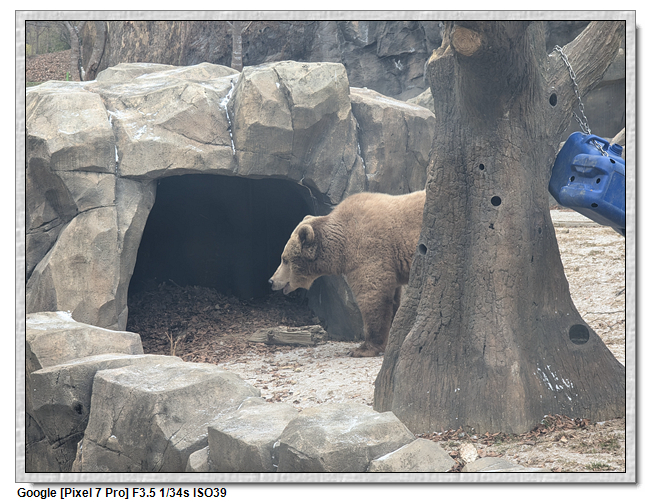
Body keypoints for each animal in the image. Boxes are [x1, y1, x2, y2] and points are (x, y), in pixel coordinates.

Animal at [269, 190, 426, 357]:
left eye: (284, 259)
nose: (271, 280)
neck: (341, 246)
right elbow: (393, 298)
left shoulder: (369, 250)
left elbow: (373, 296)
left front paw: (362, 348)